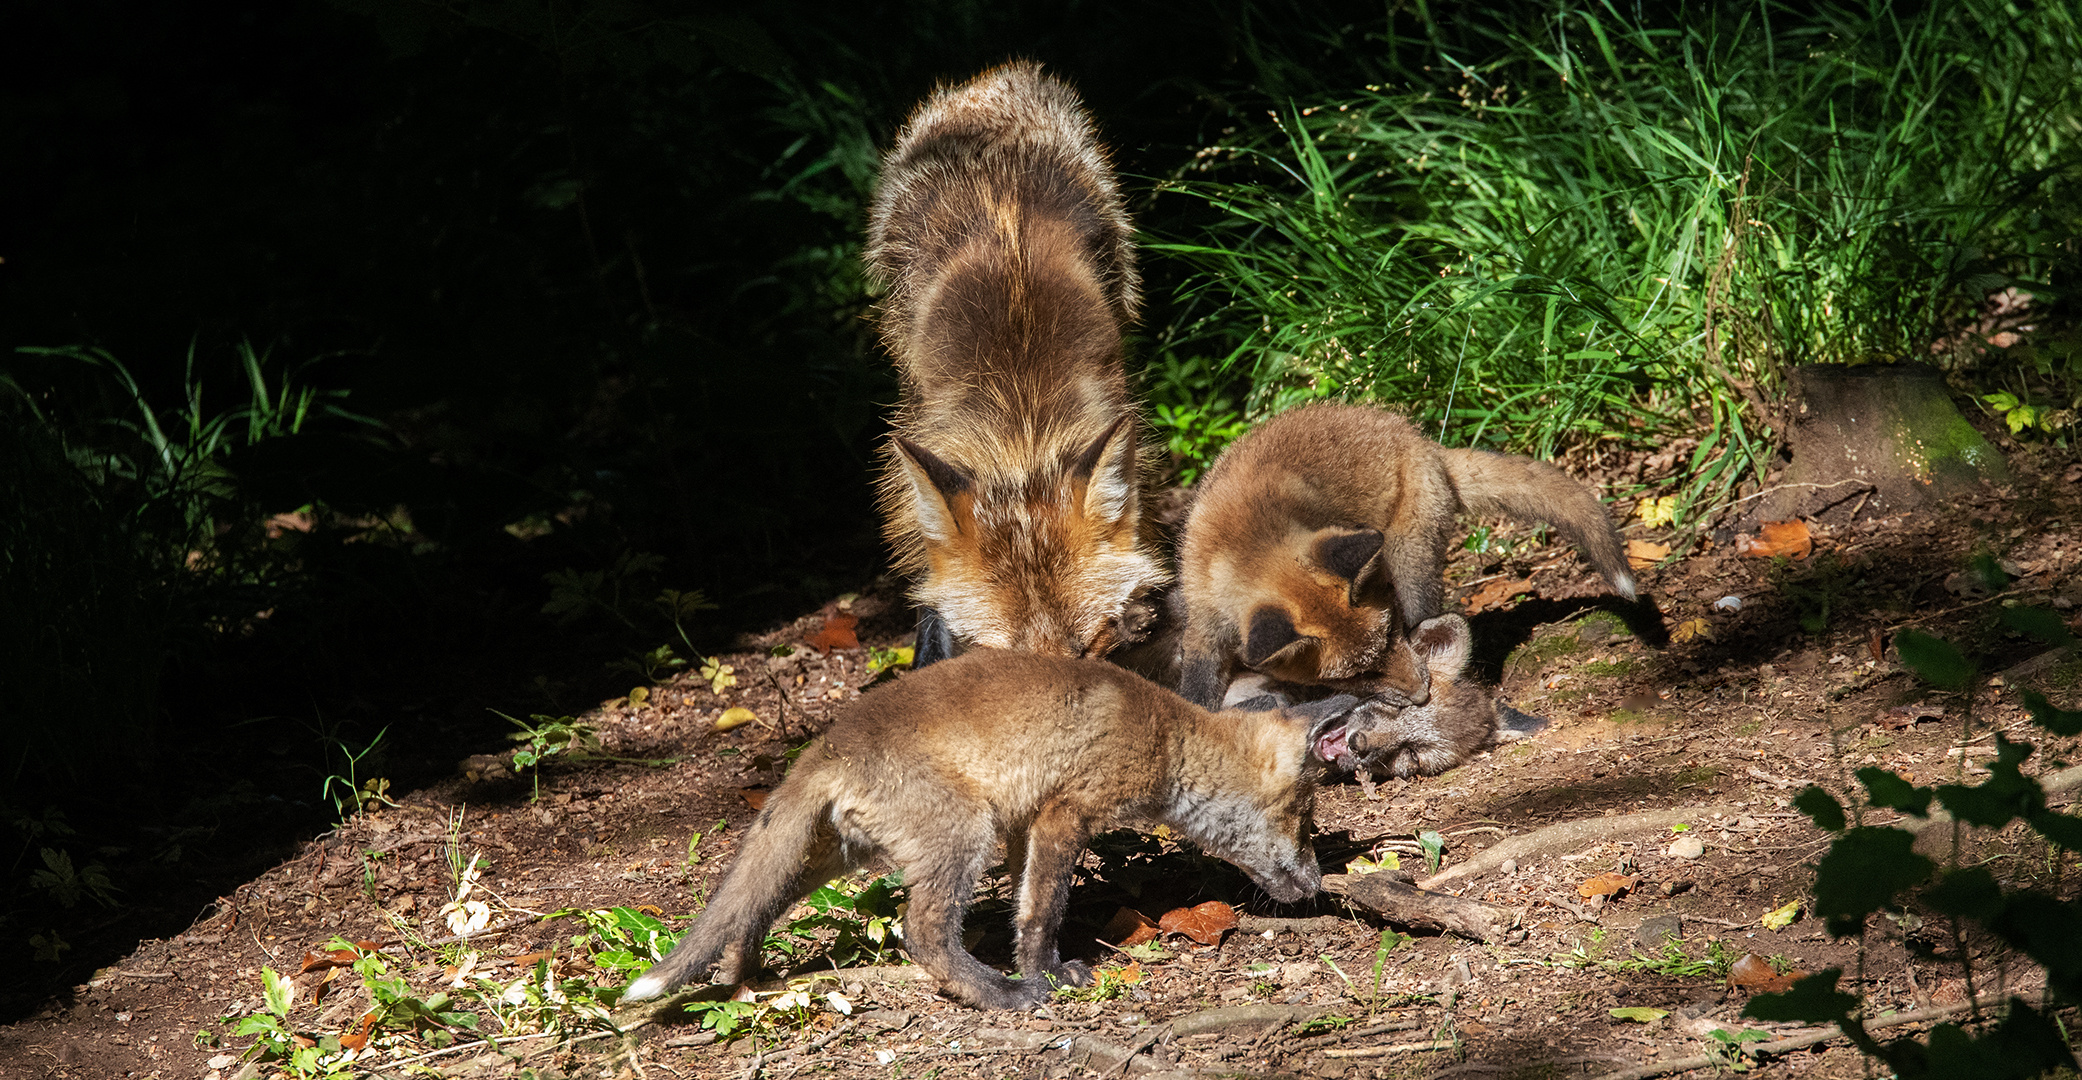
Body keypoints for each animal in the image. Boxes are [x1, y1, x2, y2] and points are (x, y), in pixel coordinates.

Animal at [624, 649, 1357, 1015]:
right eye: (1306, 820)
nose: (1319, 884)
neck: (1164, 738)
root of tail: (828, 743)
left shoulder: (1023, 825)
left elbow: (1022, 901)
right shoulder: (1066, 812)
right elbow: (1041, 913)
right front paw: (1046, 974)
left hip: (827, 858)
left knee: (748, 908)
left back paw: (744, 978)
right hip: (960, 835)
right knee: (921, 934)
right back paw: (997, 995)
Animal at [1182, 401, 1632, 715]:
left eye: (1390, 635)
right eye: (1359, 674)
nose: (1421, 693)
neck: (1244, 537)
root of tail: (1421, 440)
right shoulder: (1204, 619)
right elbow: (1195, 691)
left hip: (1407, 559)